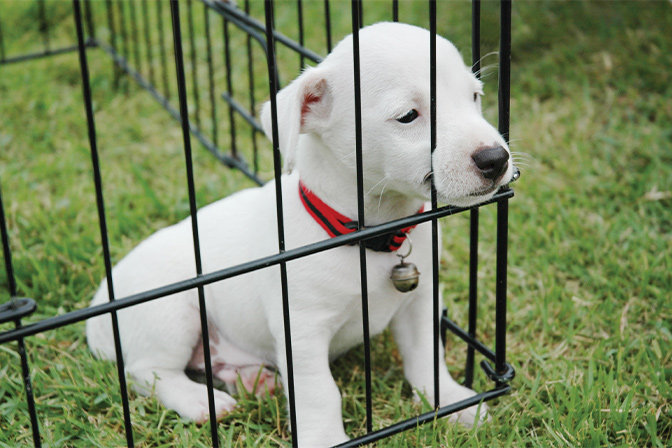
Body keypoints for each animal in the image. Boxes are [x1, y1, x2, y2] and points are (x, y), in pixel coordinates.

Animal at [86, 21, 516, 448]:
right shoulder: (302, 333)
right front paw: (324, 438)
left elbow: (427, 358)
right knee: (148, 371)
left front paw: (452, 402)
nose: (496, 159)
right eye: (409, 115)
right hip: (171, 315)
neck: (368, 236)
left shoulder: (421, 302)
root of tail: (99, 305)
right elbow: (319, 392)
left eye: (475, 96)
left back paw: (251, 380)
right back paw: (201, 401)